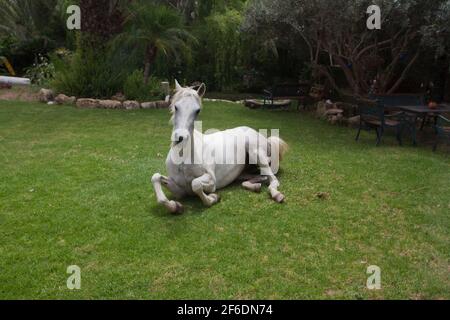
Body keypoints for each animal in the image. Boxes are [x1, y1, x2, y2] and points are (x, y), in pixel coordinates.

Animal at [152, 80, 288, 215]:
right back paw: (255, 187)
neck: (183, 160)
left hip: (257, 154)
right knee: (259, 178)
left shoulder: (211, 182)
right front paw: (176, 206)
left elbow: (196, 184)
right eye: (176, 107)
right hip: (243, 173)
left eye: (197, 110)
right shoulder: (180, 191)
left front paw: (214, 197)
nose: (180, 138)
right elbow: (156, 178)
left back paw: (277, 195)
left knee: (273, 179)